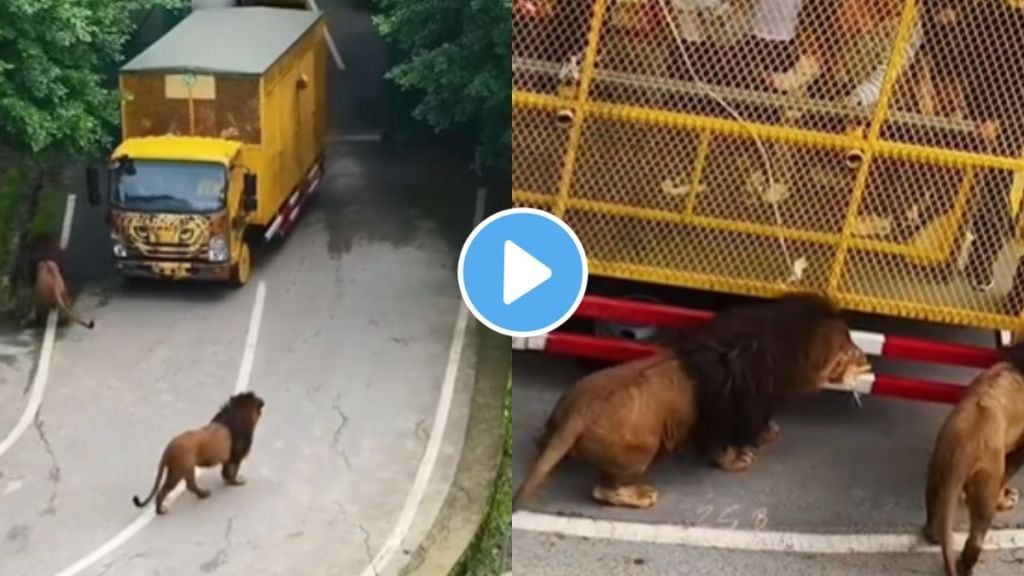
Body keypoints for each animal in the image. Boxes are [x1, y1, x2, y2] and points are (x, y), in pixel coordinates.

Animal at [132, 387, 264, 512]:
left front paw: (228, 481)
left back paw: (202, 495)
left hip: (183, 469)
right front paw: (236, 482)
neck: (239, 411)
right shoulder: (236, 457)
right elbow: (233, 471)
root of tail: (169, 447)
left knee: (189, 485)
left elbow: (225, 472)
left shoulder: (228, 459)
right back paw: (163, 510)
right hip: (180, 470)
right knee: (171, 489)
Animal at [512, 291, 872, 506]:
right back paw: (642, 495)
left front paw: (769, 433)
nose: (867, 359)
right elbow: (722, 449)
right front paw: (740, 459)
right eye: (850, 350)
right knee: (604, 490)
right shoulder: (726, 415)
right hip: (640, 450)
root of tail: (577, 414)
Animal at [925, 340, 1024, 573]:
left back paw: (934, 535)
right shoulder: (1020, 449)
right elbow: (1008, 475)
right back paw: (965, 567)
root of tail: (964, 444)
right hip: (986, 482)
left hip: (936, 469)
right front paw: (1006, 498)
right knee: (976, 538)